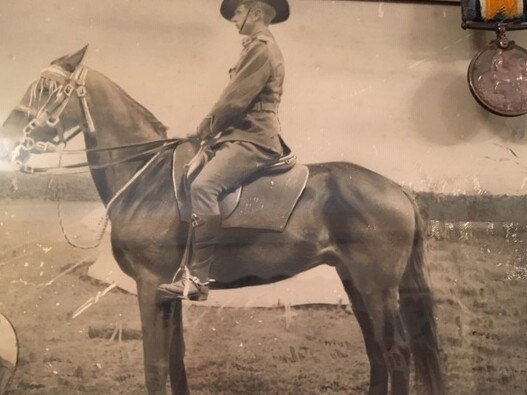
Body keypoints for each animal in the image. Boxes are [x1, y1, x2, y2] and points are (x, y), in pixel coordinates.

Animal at [0, 48, 444, 394]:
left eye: (46, 91)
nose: (10, 139)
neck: (147, 176)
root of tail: (398, 189)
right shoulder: (167, 293)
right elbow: (175, 360)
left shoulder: (149, 286)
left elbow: (154, 367)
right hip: (354, 282)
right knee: (377, 355)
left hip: (378, 288)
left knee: (397, 355)